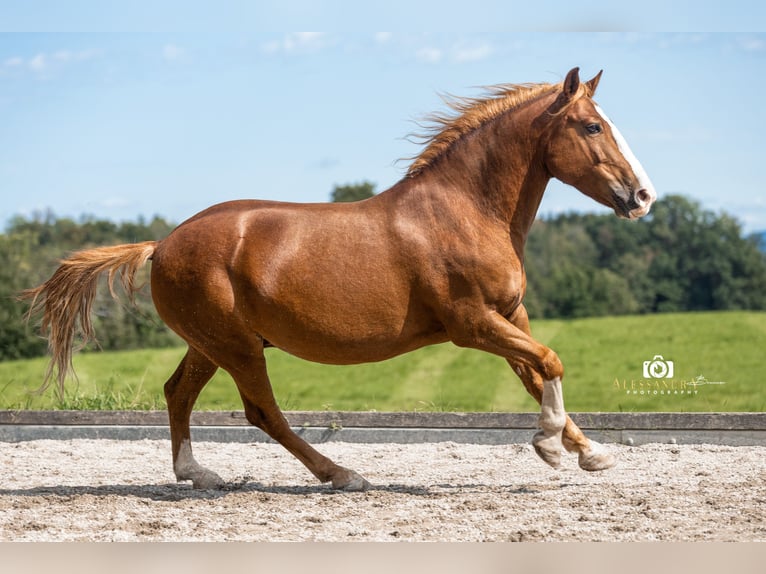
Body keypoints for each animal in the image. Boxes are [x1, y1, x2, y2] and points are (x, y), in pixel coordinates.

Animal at [23, 67, 656, 490]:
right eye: (592, 126)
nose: (643, 197)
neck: (464, 210)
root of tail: (161, 245)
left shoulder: (509, 316)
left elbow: (535, 372)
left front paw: (588, 452)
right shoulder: (472, 324)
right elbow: (550, 360)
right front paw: (550, 447)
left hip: (211, 343)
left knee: (178, 391)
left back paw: (197, 474)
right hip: (236, 346)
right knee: (262, 412)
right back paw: (342, 473)